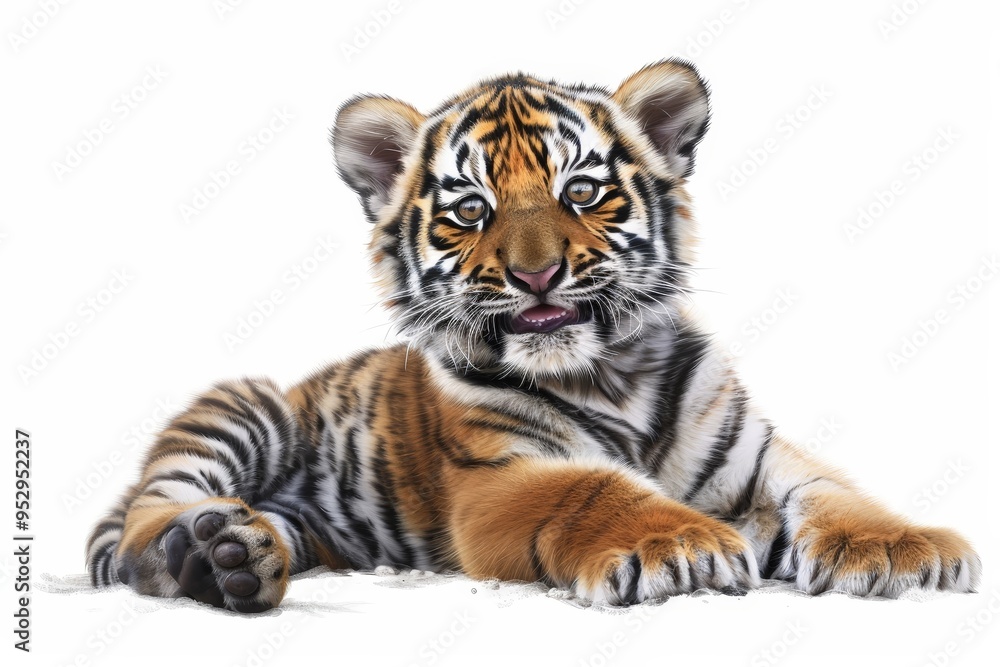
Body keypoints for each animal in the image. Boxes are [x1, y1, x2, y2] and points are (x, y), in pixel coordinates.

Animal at [86, 59, 981, 612]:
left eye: (580, 192)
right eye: (469, 209)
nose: (537, 274)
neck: (613, 375)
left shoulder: (760, 454)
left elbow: (836, 491)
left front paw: (904, 549)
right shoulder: (501, 478)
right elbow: (594, 487)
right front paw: (677, 541)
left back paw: (231, 558)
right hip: (247, 405)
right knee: (150, 513)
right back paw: (208, 550)